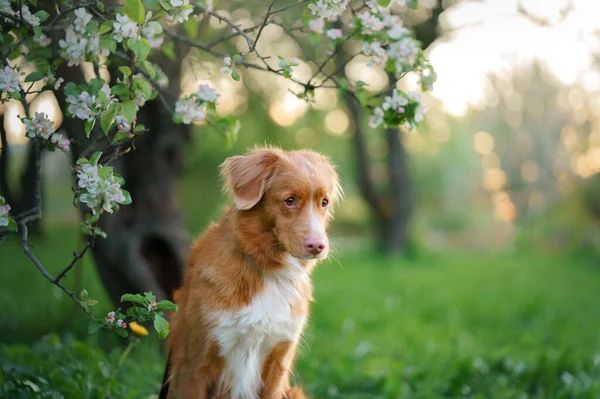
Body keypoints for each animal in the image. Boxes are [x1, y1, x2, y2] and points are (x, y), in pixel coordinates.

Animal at [162, 148, 342, 399]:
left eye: (324, 203)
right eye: (290, 200)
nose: (318, 246)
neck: (269, 270)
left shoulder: (277, 365)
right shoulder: (195, 366)